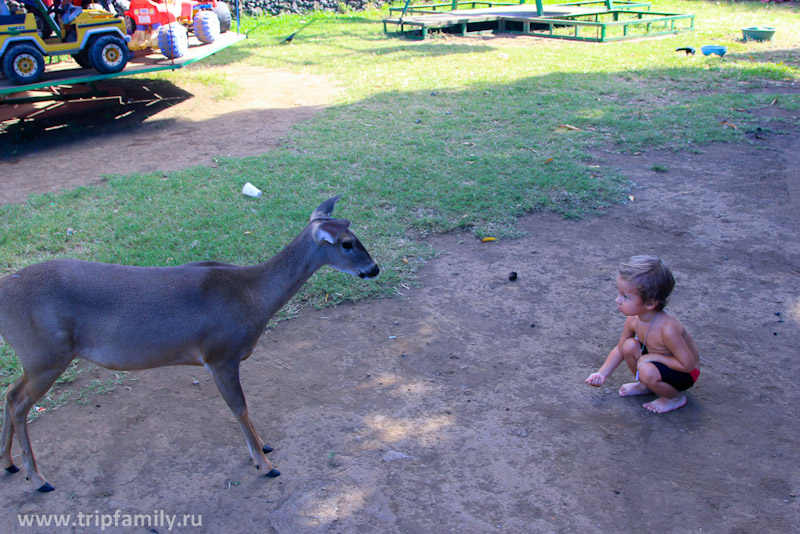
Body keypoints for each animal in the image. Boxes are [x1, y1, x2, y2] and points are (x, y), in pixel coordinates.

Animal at [0, 196, 378, 494]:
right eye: (347, 243)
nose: (374, 268)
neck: (251, 296)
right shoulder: (220, 354)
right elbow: (239, 407)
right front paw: (264, 464)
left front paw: (265, 447)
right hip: (46, 354)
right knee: (19, 402)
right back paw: (39, 479)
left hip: (36, 357)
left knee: (8, 392)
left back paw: (9, 464)